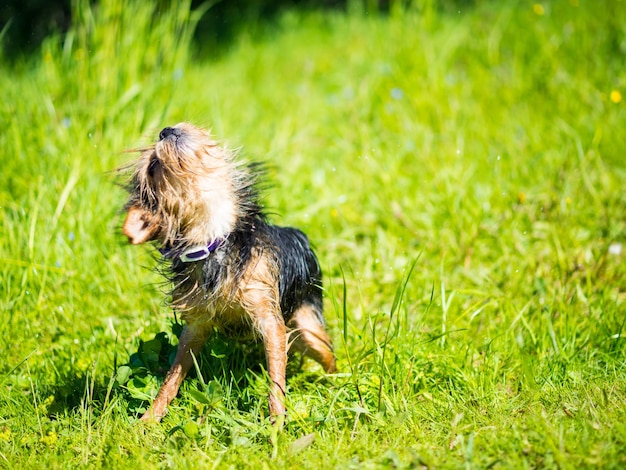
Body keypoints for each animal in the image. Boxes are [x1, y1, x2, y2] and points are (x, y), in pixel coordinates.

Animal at [122, 122, 336, 422]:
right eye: (153, 166)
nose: (166, 129)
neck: (214, 242)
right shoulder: (196, 326)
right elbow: (172, 377)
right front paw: (150, 418)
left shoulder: (269, 317)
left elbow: (276, 380)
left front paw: (276, 423)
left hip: (306, 324)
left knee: (328, 356)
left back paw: (335, 384)